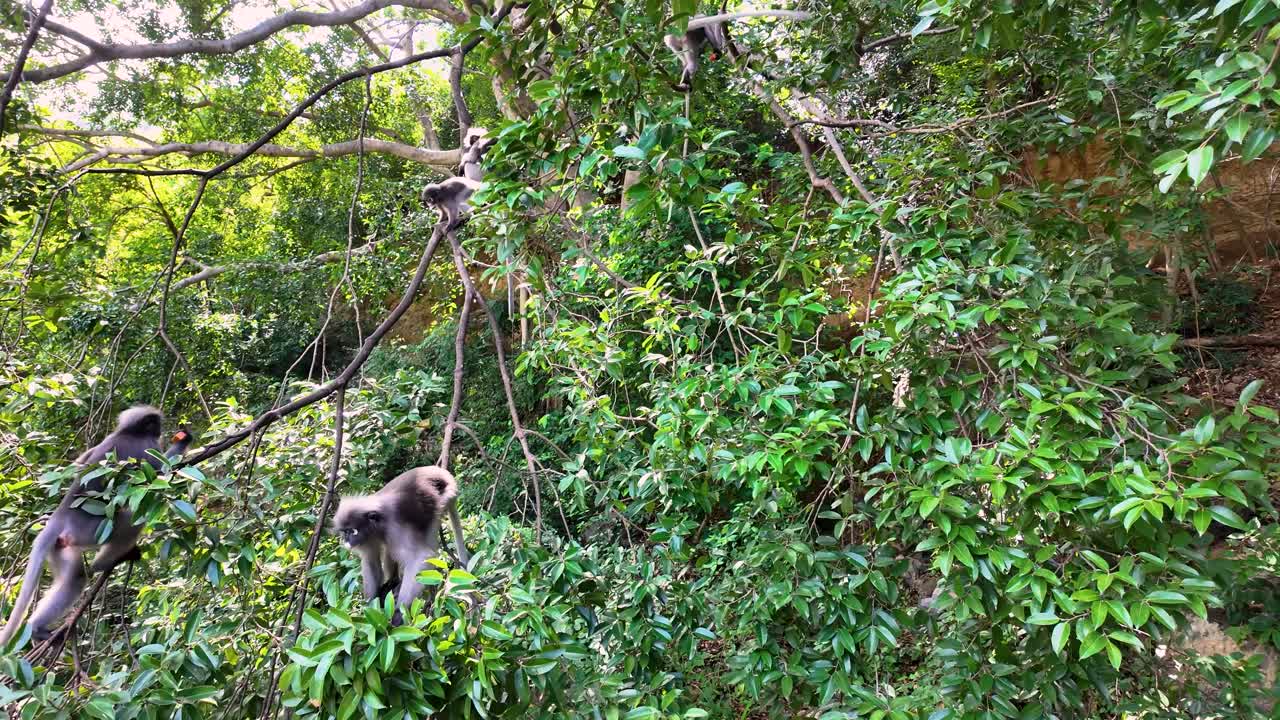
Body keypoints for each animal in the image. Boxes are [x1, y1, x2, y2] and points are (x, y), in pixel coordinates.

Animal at [0, 406, 193, 646]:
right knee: (130, 515)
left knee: (74, 579)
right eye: (155, 423)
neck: (128, 432)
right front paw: (184, 441)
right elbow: (162, 473)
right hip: (90, 531)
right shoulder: (147, 446)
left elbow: (76, 465)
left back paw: (36, 629)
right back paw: (105, 562)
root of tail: (61, 516)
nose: (161, 428)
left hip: (61, 546)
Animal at [333, 465, 469, 624]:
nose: (347, 541)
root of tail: (436, 471)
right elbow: (371, 561)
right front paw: (370, 606)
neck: (379, 524)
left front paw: (398, 613)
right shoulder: (368, 538)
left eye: (352, 531)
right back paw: (392, 582)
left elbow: (422, 556)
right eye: (345, 532)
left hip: (440, 503)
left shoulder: (395, 526)